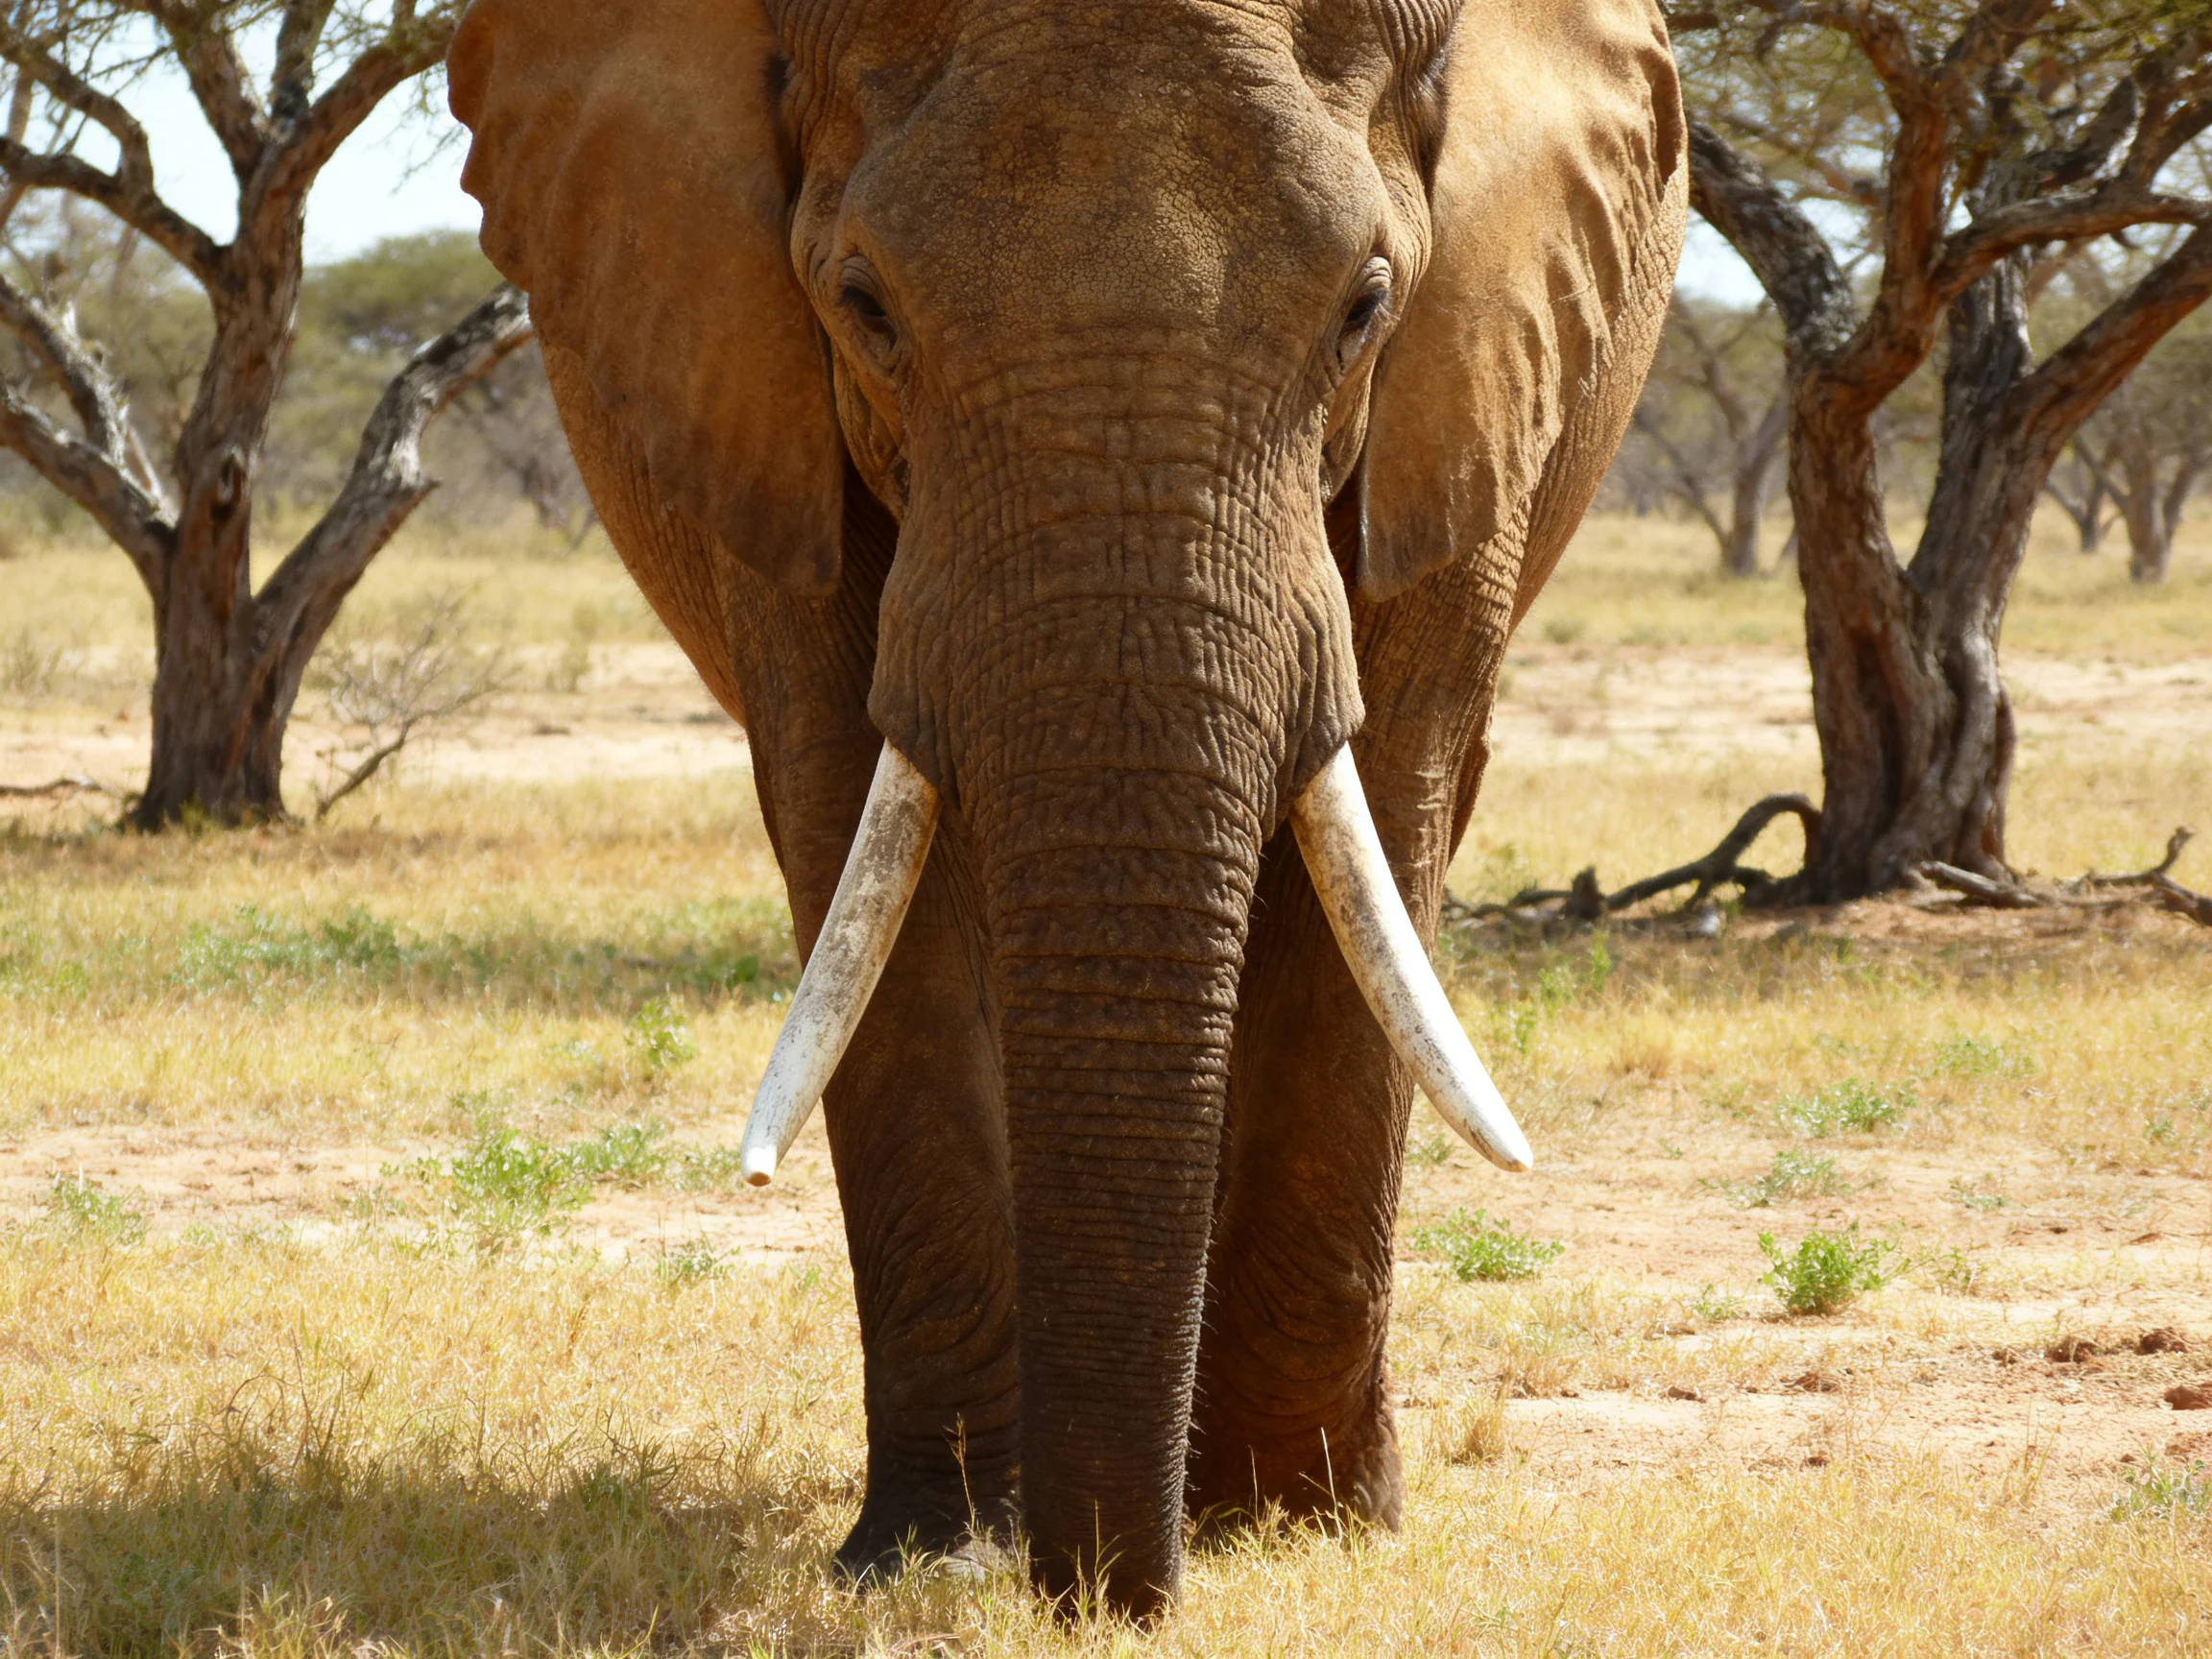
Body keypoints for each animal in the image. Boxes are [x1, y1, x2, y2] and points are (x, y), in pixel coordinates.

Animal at [450, 0, 1684, 1619]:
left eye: (1365, 308)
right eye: (864, 305)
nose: (1103, 1598)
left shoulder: (1469, 389)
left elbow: (1380, 838)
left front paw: (1299, 1528)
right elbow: (864, 855)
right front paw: (932, 1549)